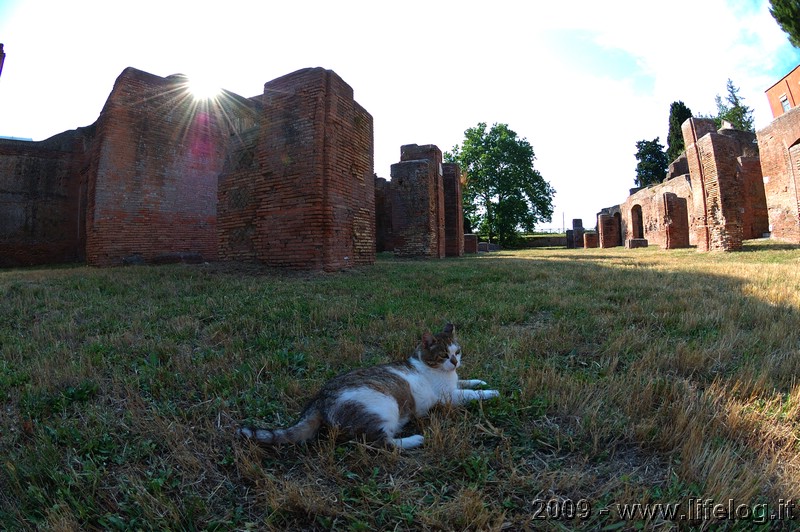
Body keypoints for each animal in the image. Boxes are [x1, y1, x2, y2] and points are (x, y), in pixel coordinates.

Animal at [239, 324, 500, 448]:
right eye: (444, 355)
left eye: (457, 351)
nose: (455, 362)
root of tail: (320, 398)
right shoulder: (448, 397)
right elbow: (470, 394)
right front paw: (491, 391)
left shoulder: (455, 382)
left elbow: (467, 381)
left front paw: (480, 380)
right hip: (382, 408)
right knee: (382, 443)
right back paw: (415, 439)